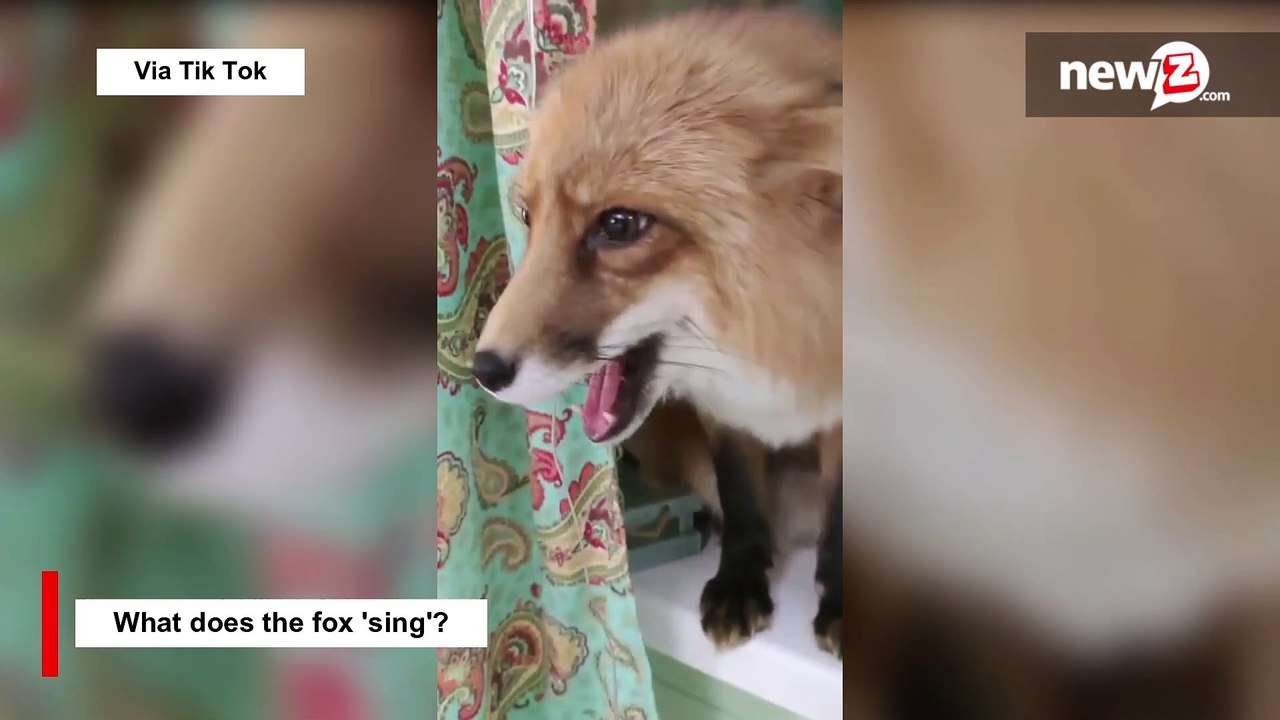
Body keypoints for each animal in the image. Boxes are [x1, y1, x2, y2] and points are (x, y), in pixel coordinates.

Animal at [471, 8, 843, 655]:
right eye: (527, 217)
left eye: (619, 225)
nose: (483, 369)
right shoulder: (723, 412)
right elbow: (740, 492)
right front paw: (740, 579)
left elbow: (842, 519)